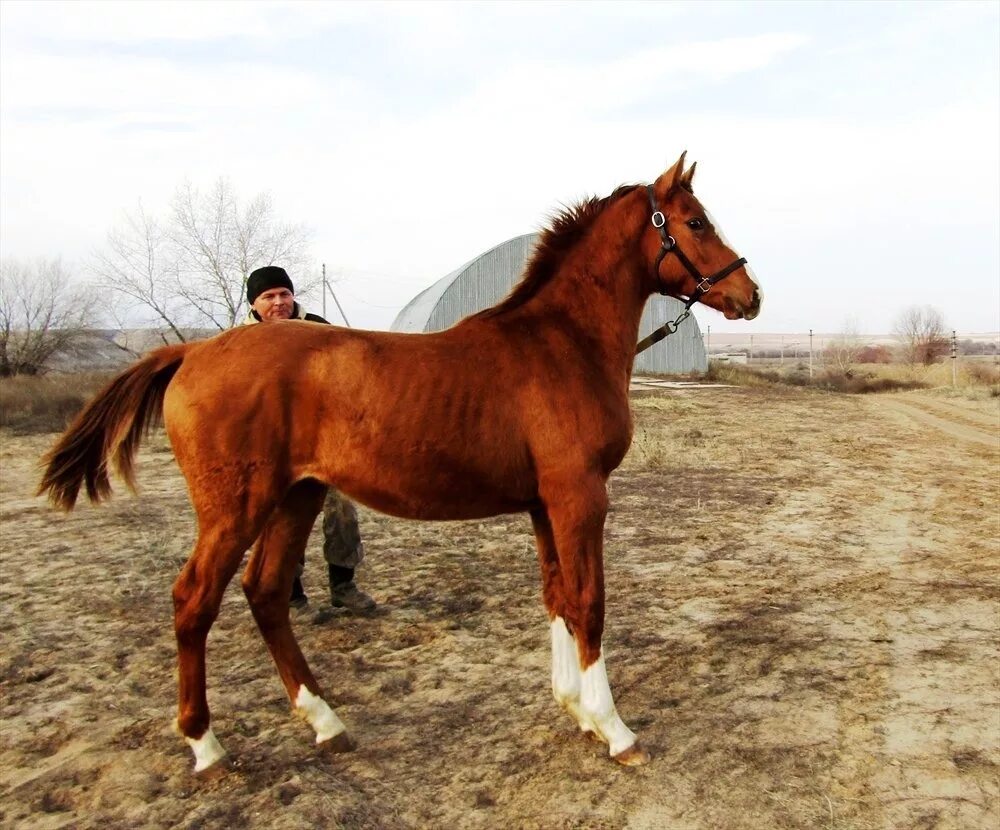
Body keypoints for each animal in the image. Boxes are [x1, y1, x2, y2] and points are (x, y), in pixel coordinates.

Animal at [37, 154, 756, 772]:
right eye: (695, 221)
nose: (750, 295)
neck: (559, 345)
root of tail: (191, 351)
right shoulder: (579, 497)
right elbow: (590, 600)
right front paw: (615, 729)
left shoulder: (544, 504)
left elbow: (557, 596)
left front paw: (575, 710)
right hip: (235, 509)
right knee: (194, 601)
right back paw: (206, 746)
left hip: (297, 496)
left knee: (265, 593)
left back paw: (326, 722)